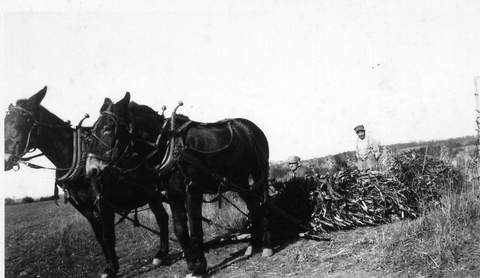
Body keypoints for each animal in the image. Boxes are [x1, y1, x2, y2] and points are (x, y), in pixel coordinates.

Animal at [2, 87, 169, 278]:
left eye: (18, 123)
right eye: (5, 124)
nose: (5, 161)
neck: (76, 159)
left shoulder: (103, 203)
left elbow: (108, 236)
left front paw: (112, 269)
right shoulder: (85, 208)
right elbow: (100, 237)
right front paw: (109, 266)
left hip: (153, 194)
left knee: (162, 218)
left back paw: (161, 254)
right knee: (162, 217)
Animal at [86, 93, 274, 278]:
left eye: (109, 127)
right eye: (92, 130)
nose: (91, 169)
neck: (170, 148)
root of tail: (249, 127)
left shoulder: (192, 192)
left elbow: (195, 231)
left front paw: (201, 268)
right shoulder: (173, 195)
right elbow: (180, 230)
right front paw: (191, 265)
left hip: (260, 173)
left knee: (264, 204)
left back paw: (267, 245)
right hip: (238, 180)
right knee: (253, 206)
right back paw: (252, 245)